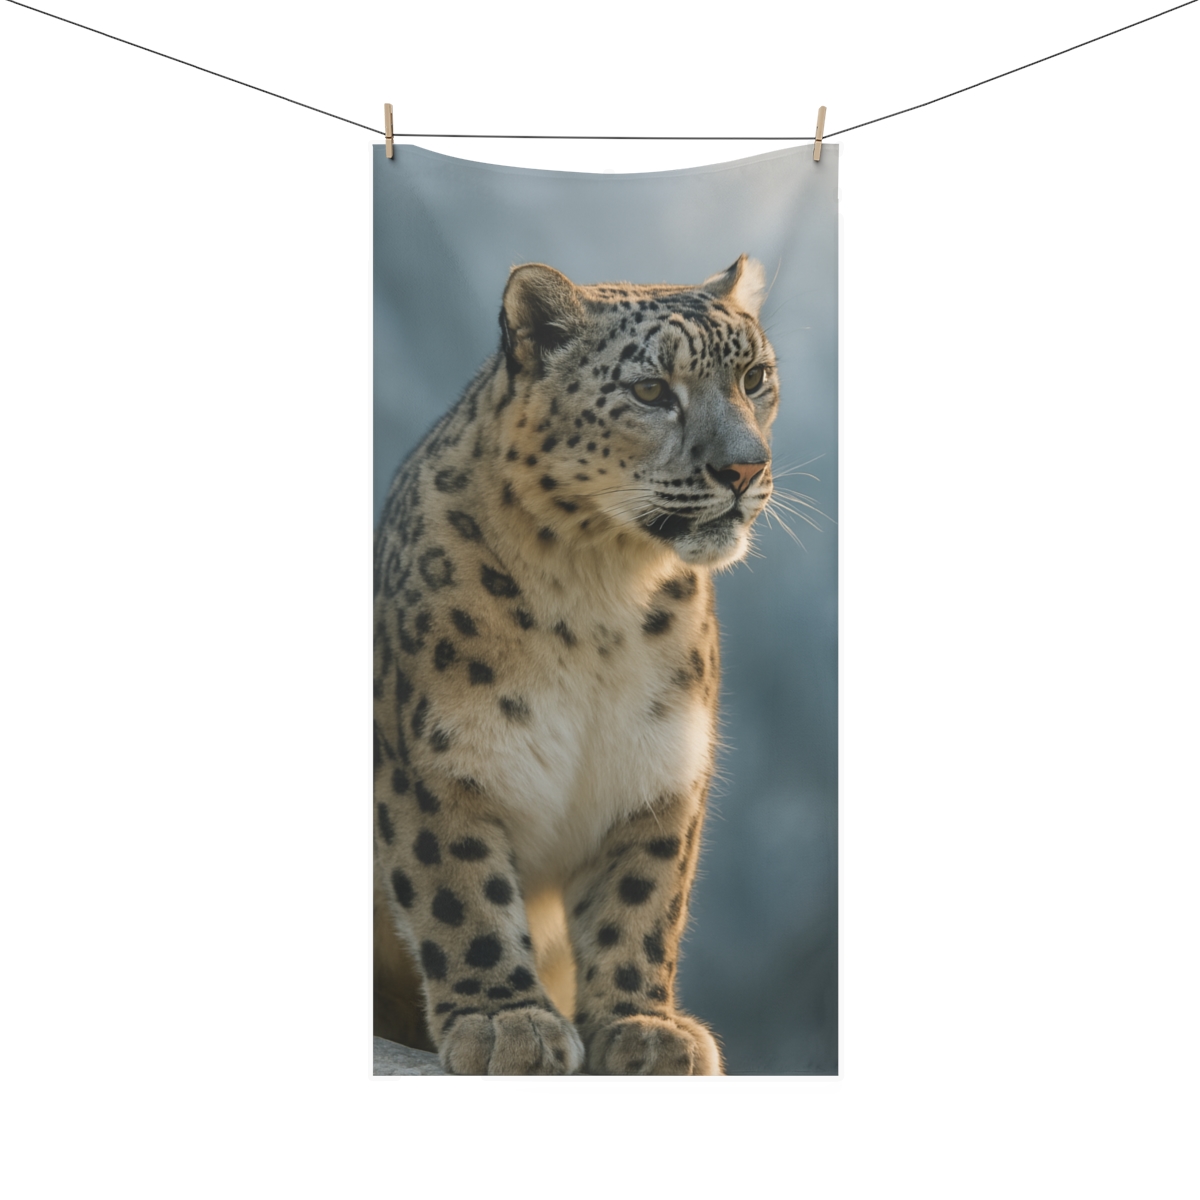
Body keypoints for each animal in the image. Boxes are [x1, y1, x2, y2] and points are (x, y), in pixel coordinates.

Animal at [373, 254, 779, 1074]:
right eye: (650, 390)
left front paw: (642, 1026)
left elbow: (642, 900)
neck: (599, 598)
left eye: (755, 378)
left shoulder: (659, 771)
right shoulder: (433, 763)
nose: (745, 469)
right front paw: (504, 1021)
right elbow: (457, 885)